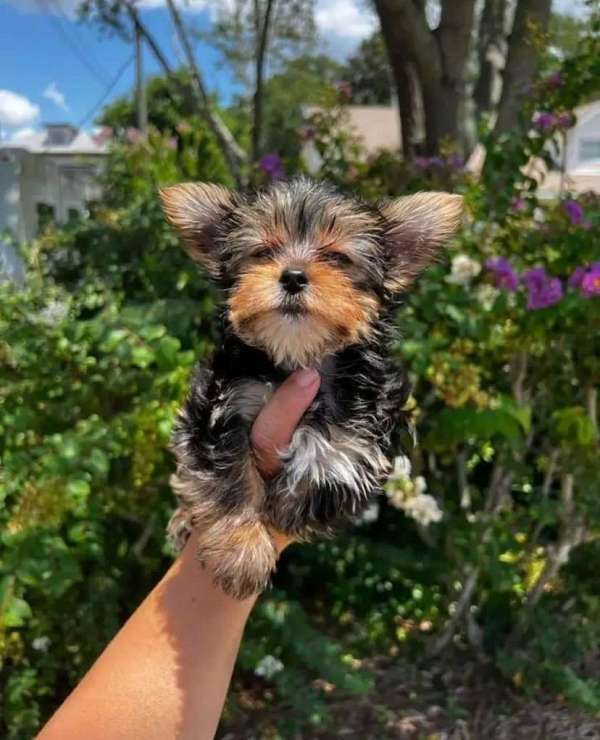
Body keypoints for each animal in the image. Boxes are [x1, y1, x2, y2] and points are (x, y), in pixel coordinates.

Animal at [159, 176, 464, 600]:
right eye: (263, 252)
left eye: (337, 258)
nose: (292, 275)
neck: (300, 356)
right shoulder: (225, 404)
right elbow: (229, 474)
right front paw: (242, 551)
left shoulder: (368, 430)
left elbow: (333, 463)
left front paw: (287, 507)